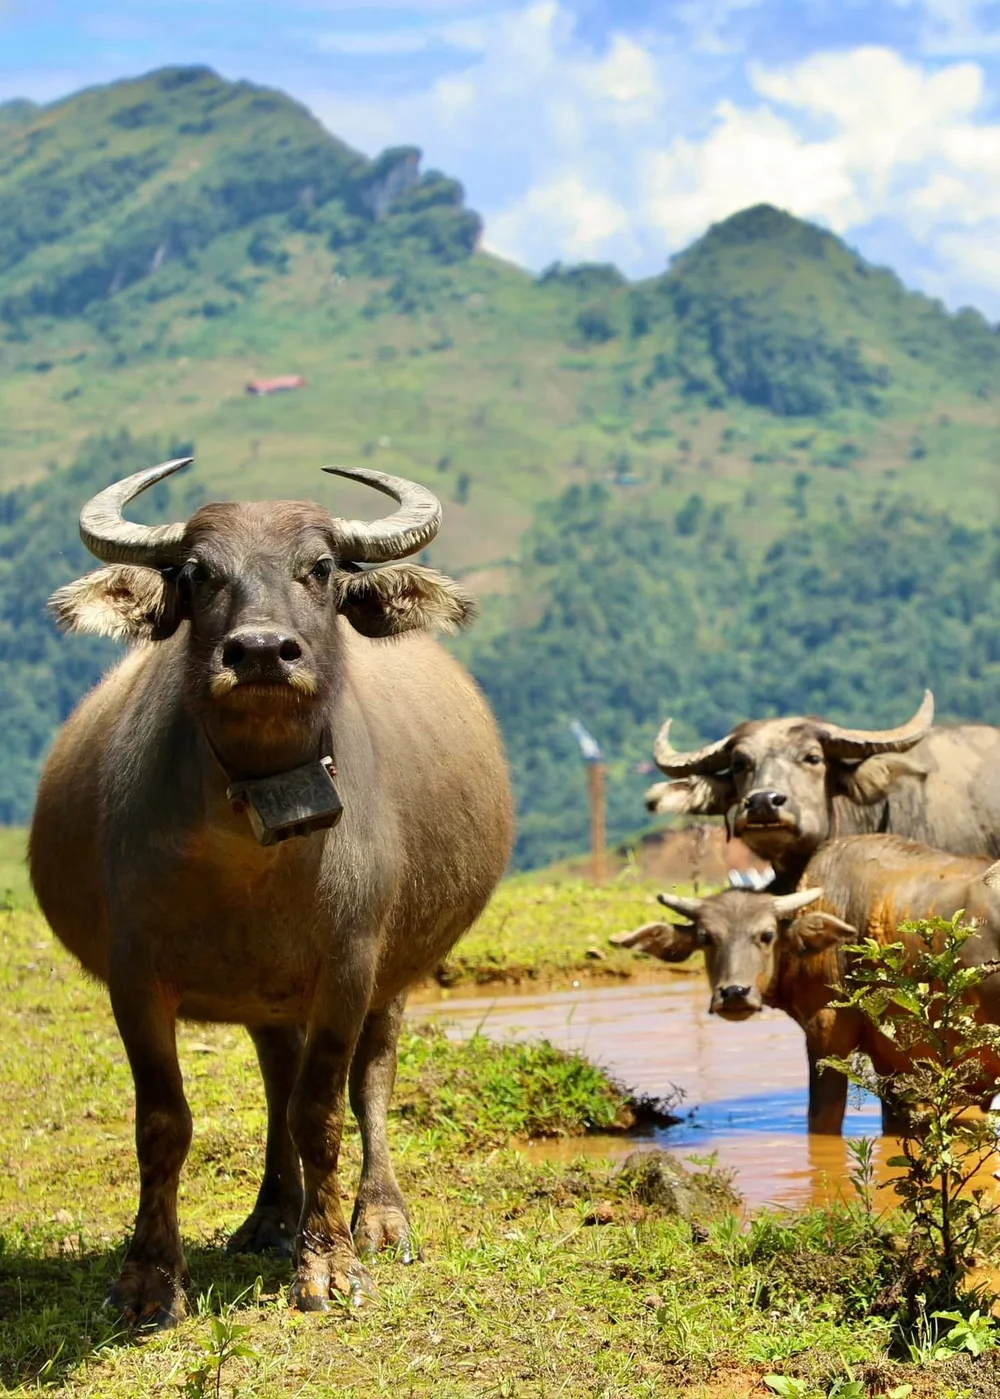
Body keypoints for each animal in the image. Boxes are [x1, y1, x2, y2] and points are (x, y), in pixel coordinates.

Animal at [29, 459, 514, 1325]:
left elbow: (322, 1110)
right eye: (197, 572)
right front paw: (148, 1279)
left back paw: (379, 1215)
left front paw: (330, 1264)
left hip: (391, 972)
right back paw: (270, 1216)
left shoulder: (350, 963)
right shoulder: (133, 976)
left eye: (319, 568)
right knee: (276, 1075)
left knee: (369, 1076)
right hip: (268, 993)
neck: (252, 841)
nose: (259, 652)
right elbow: (163, 1122)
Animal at [612, 833, 1000, 1134]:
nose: (734, 993)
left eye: (766, 935)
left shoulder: (826, 1034)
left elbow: (822, 1119)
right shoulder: (889, 1056)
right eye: (707, 938)